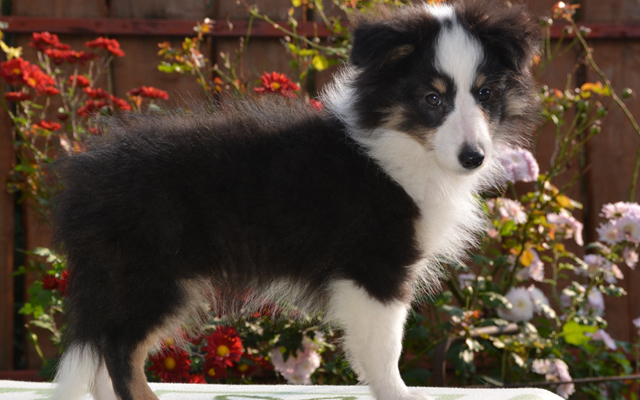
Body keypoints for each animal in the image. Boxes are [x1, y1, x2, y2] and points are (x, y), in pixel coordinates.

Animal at [51, 1, 540, 398]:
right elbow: (385, 347)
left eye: (485, 93)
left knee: (103, 354)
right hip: (152, 276)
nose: (474, 157)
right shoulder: (376, 267)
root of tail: (82, 180)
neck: (399, 146)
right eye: (432, 98)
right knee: (119, 351)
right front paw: (398, 394)